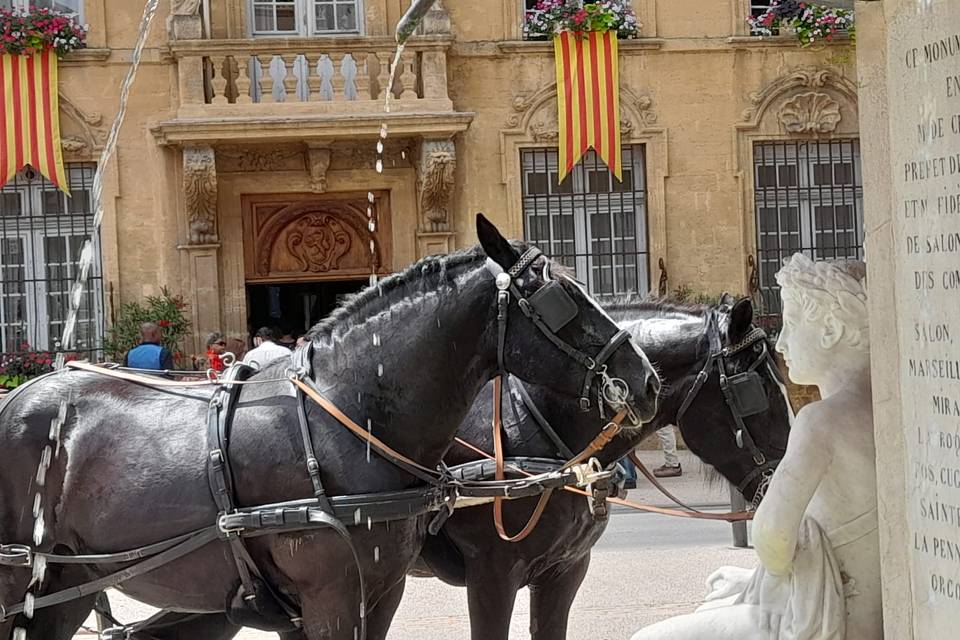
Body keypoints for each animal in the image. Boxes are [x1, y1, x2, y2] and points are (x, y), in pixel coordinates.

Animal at [0, 216, 660, 640]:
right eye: (564, 298)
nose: (644, 377)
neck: (345, 424)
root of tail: (20, 397)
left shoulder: (383, 591)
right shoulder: (334, 595)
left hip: (67, 580)